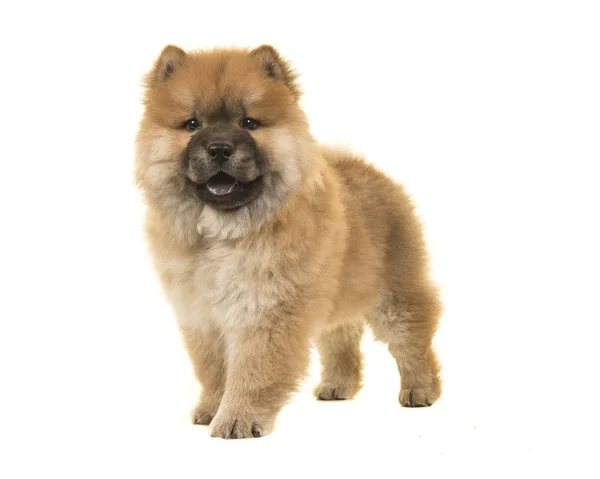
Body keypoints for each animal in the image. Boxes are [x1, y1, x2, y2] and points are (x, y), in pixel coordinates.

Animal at [138, 44, 442, 438]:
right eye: (192, 125)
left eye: (248, 124)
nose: (219, 148)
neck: (224, 232)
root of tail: (368, 170)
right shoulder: (202, 317)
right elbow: (213, 371)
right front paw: (210, 409)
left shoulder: (266, 310)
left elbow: (252, 372)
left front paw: (237, 420)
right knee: (341, 339)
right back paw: (337, 387)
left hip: (395, 294)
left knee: (412, 339)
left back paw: (420, 390)